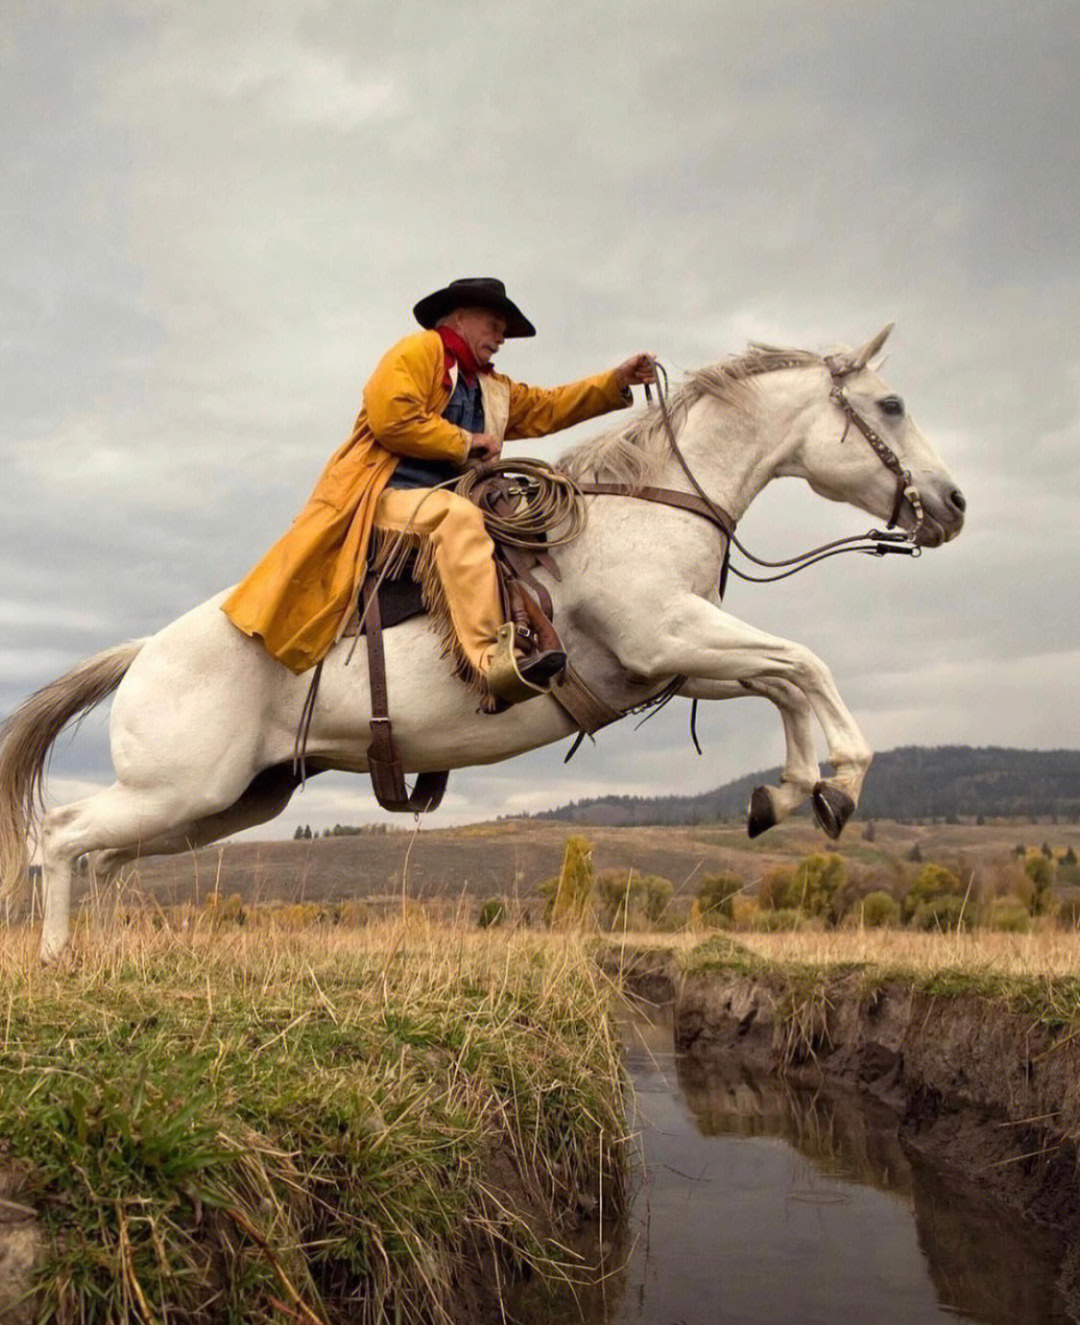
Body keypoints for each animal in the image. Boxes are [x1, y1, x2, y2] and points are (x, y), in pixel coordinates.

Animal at [0, 325, 964, 959]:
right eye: (891, 403)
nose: (952, 504)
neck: (649, 503)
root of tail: (144, 650)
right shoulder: (672, 637)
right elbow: (804, 664)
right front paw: (843, 779)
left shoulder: (679, 661)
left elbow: (784, 681)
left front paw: (789, 792)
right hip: (178, 789)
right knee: (63, 836)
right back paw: (57, 962)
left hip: (227, 802)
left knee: (106, 861)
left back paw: (106, 959)